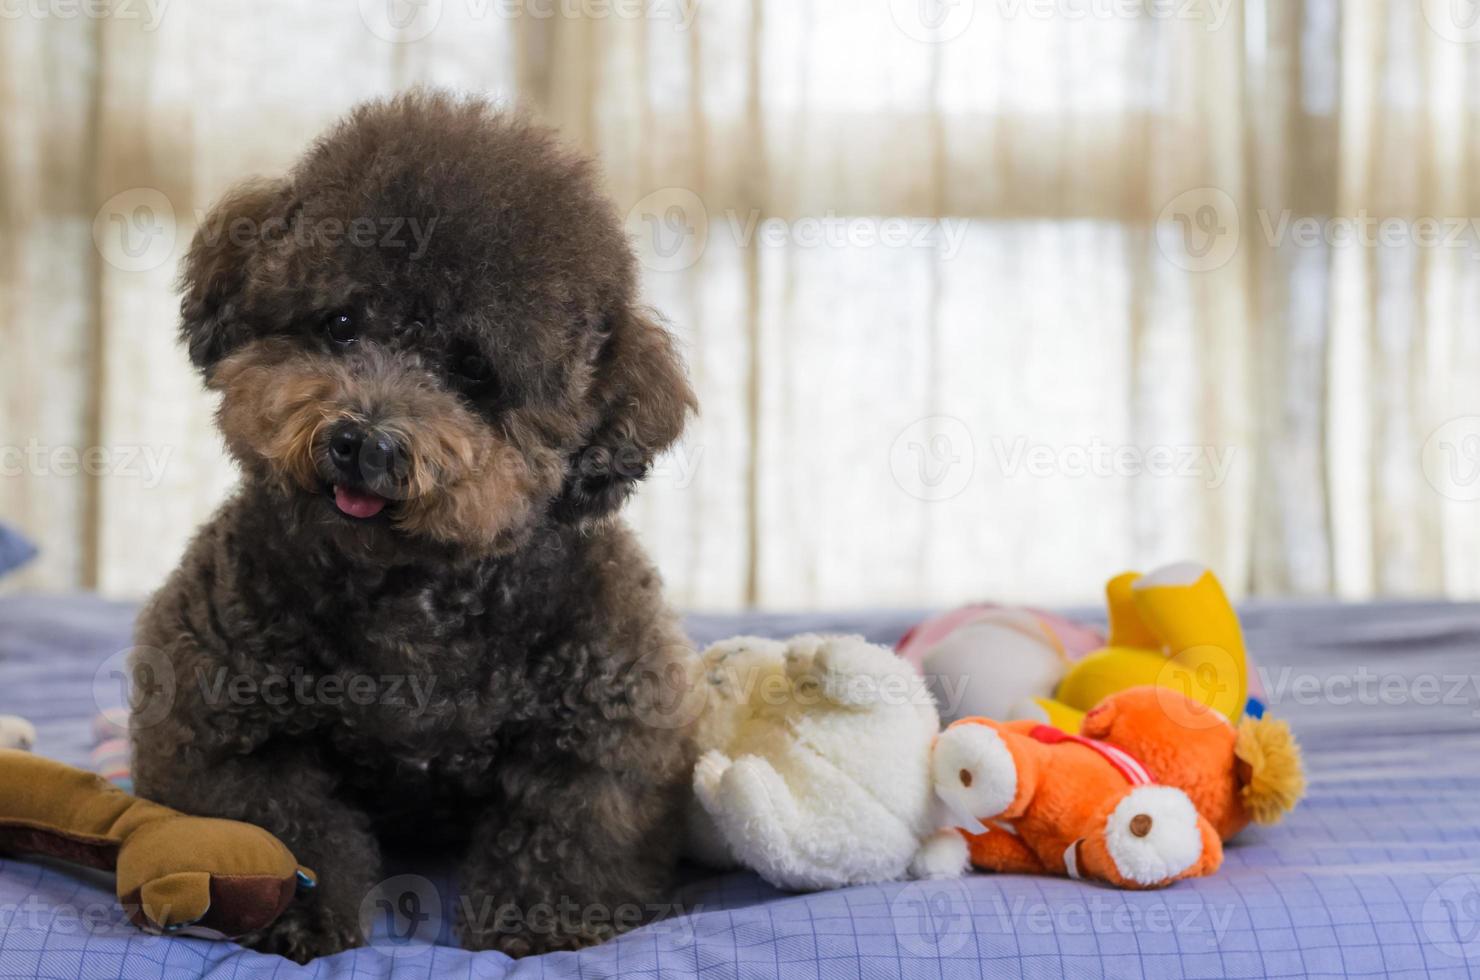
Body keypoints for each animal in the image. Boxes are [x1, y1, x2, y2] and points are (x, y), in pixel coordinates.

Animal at [131, 88, 698, 965]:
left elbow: (565, 830)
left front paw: (542, 925)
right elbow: (280, 821)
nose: (363, 441)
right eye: (339, 324)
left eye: (473, 371)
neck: (410, 595)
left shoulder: (605, 724)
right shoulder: (221, 719)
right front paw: (292, 915)